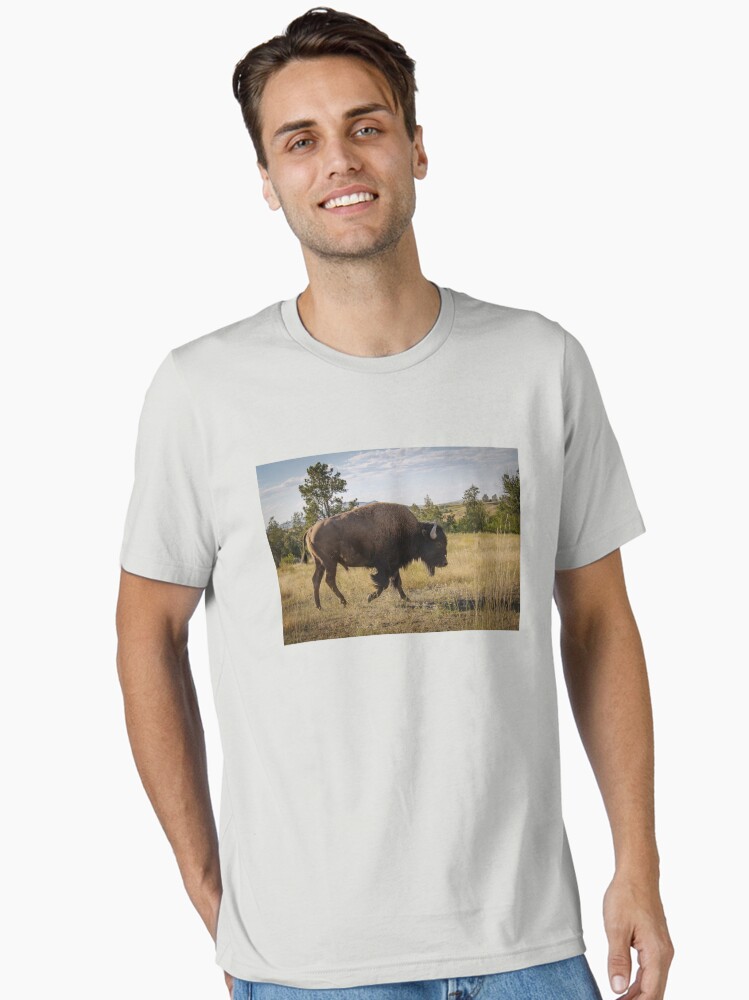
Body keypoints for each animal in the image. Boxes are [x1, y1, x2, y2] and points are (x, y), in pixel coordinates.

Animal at [302, 501, 448, 610]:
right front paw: (369, 598)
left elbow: (397, 581)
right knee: (329, 580)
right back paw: (343, 602)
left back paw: (319, 606)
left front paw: (406, 598)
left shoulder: (394, 565)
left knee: (316, 580)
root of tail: (310, 530)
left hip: (320, 563)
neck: (409, 531)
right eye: (439, 544)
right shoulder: (384, 566)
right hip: (330, 562)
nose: (445, 563)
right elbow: (384, 583)